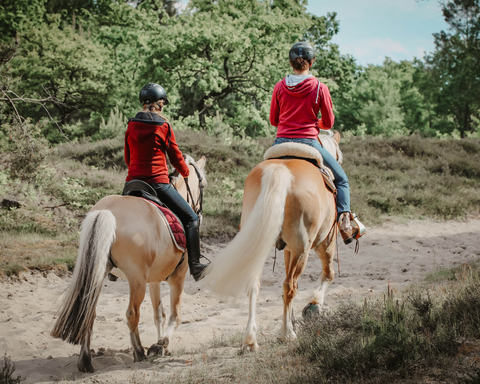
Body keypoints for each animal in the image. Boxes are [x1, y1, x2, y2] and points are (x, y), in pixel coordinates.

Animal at [50, 154, 206, 374]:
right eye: (203, 185)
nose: (199, 214)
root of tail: (107, 211)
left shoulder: (154, 280)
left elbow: (159, 314)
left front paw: (160, 345)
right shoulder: (178, 277)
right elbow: (175, 316)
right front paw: (161, 344)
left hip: (98, 274)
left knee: (89, 312)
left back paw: (86, 361)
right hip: (136, 280)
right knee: (132, 313)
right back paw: (139, 352)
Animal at [204, 131, 344, 352]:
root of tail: (280, 170)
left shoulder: (287, 250)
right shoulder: (325, 243)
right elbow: (328, 274)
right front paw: (313, 306)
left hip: (258, 244)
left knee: (255, 284)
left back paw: (251, 339)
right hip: (302, 248)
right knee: (290, 286)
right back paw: (287, 334)